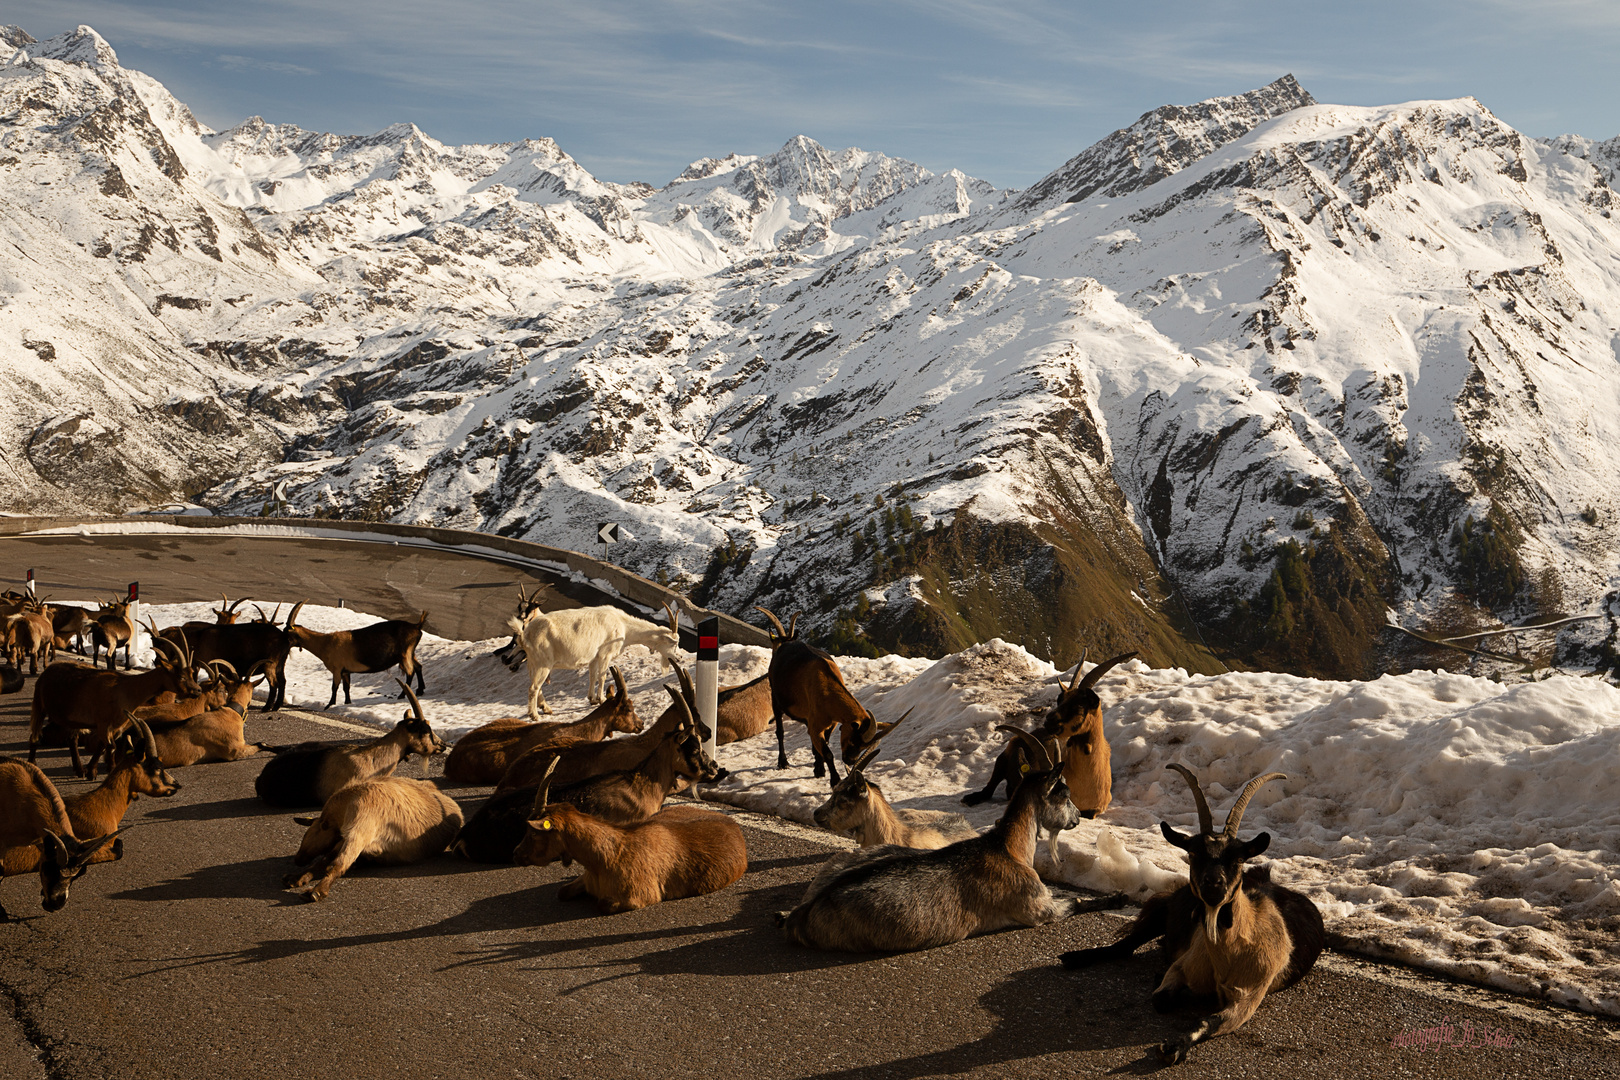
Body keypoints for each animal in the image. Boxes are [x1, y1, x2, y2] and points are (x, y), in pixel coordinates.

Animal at [283, 777, 463, 906]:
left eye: (308, 834)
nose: (298, 859)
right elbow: (325, 860)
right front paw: (298, 878)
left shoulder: (359, 830)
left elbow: (336, 863)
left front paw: (317, 891)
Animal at [285, 599, 427, 709]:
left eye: (286, 632)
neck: (325, 643)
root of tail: (417, 627)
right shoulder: (345, 671)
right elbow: (346, 687)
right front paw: (347, 703)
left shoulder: (337, 669)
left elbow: (334, 687)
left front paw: (330, 705)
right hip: (410, 653)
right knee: (418, 667)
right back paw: (420, 691)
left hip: (405, 654)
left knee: (410, 672)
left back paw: (402, 695)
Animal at [508, 599, 680, 718]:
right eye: (675, 643)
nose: (678, 658)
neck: (624, 625)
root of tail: (525, 635)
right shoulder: (605, 654)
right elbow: (602, 676)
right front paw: (602, 698)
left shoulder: (594, 657)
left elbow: (592, 675)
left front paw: (592, 699)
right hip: (542, 663)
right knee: (533, 688)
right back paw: (535, 716)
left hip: (532, 663)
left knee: (537, 686)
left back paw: (547, 709)